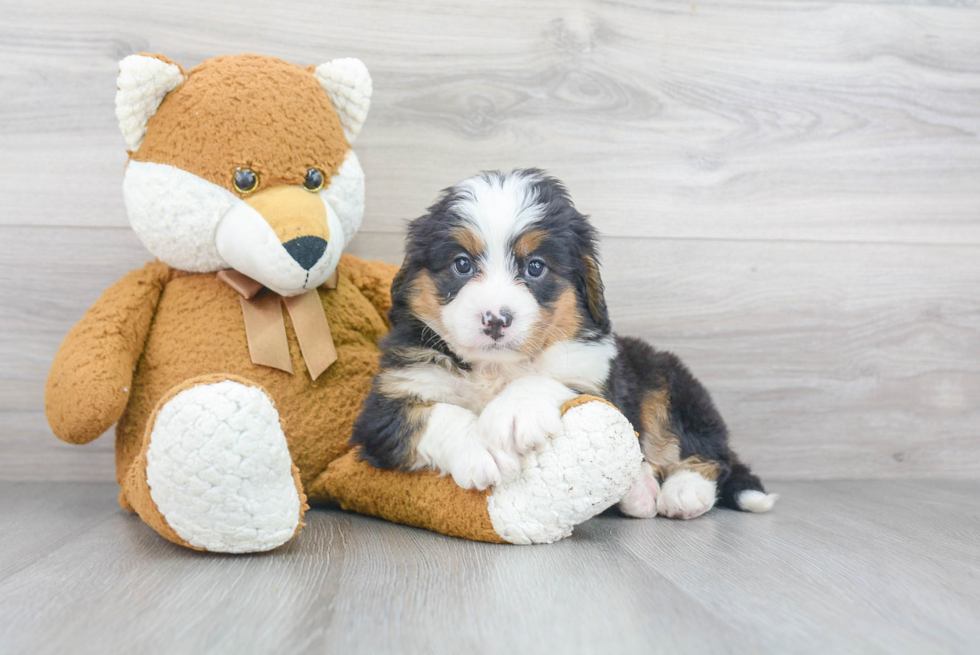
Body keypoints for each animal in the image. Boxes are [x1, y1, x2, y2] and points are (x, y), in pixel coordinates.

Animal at [348, 170, 776, 524]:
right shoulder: (386, 403)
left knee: (708, 451)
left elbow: (552, 378)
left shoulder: (599, 377)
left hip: (668, 386)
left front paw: (513, 414)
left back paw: (685, 491)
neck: (494, 368)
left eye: (535, 267)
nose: (495, 319)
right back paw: (638, 492)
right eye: (462, 264)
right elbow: (435, 414)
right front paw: (480, 446)